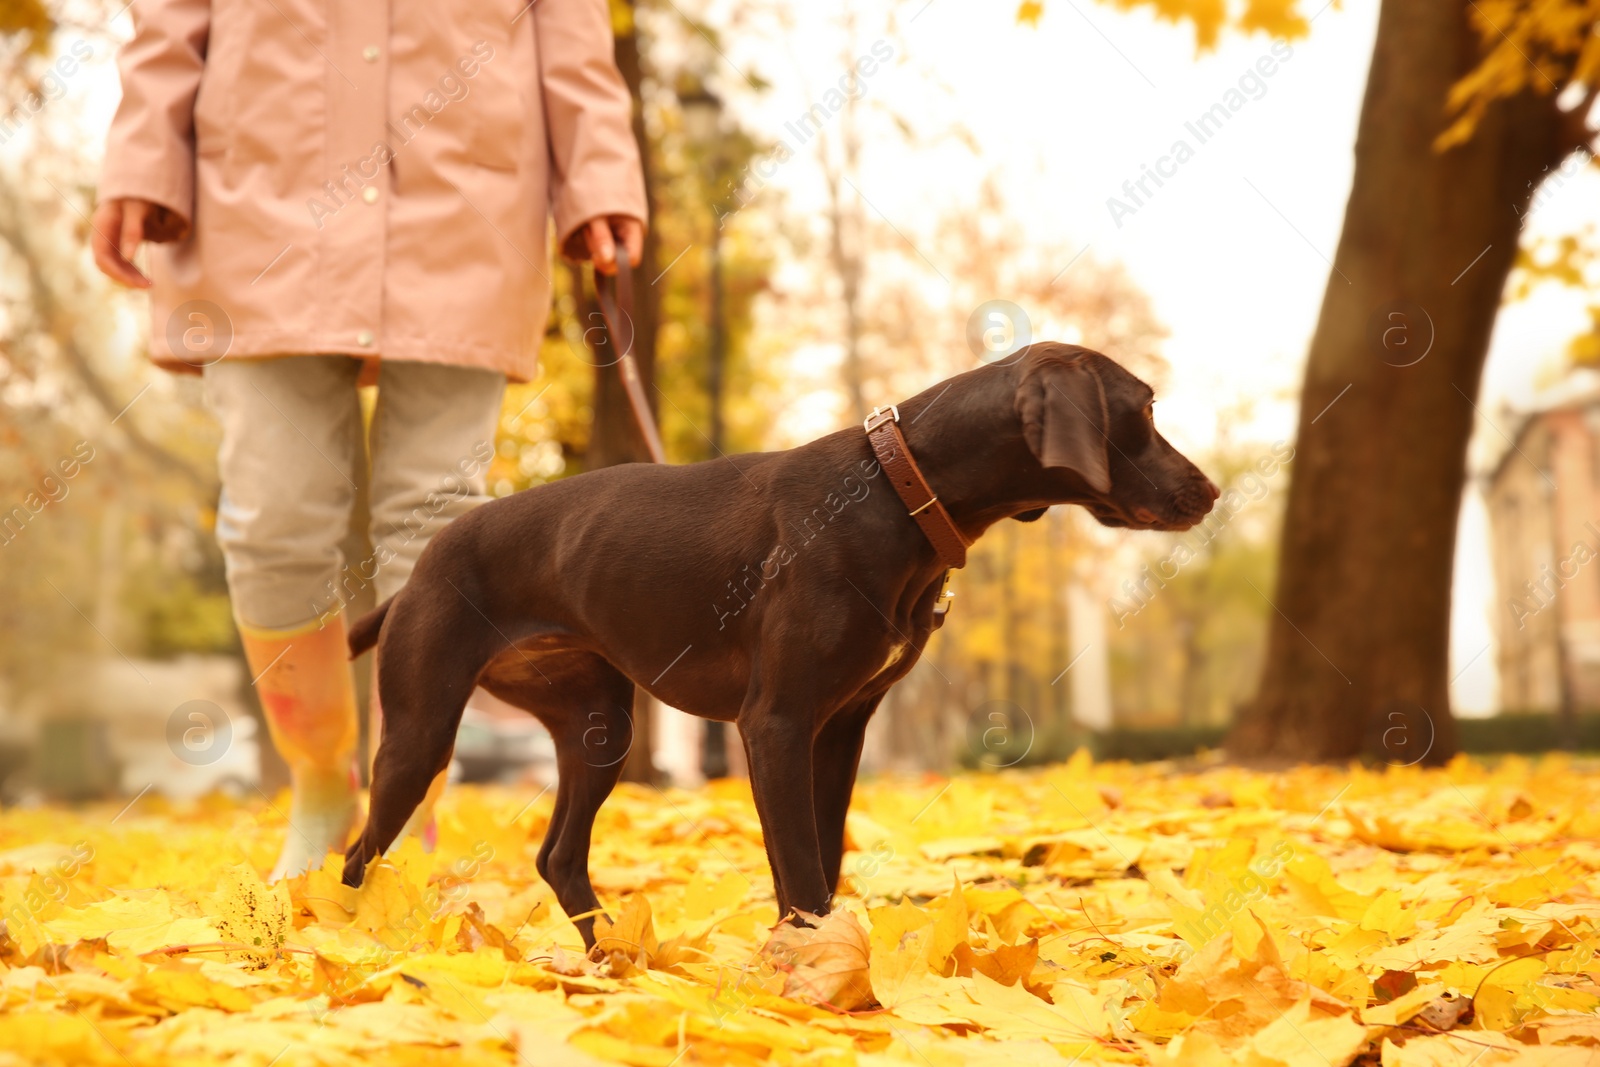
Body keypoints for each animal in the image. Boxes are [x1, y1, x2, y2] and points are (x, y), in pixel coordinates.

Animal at [337, 340, 1209, 940]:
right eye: (1147, 409)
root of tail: (413, 576)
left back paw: (611, 958)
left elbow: (822, 860)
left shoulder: (841, 729)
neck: (896, 488)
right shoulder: (777, 723)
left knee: (559, 856)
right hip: (420, 735)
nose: (1210, 491)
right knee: (356, 855)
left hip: (599, 728)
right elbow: (801, 869)